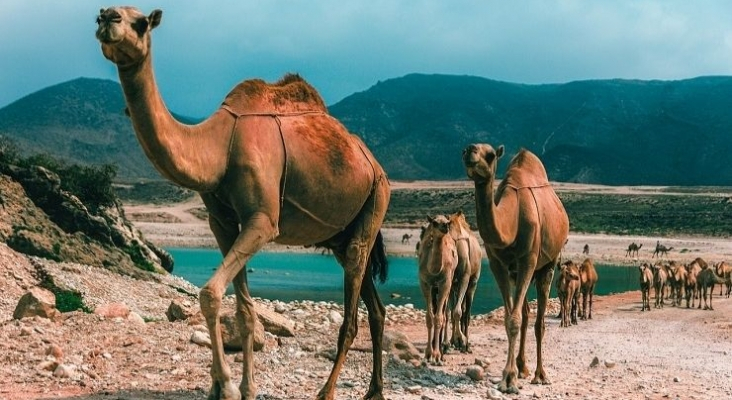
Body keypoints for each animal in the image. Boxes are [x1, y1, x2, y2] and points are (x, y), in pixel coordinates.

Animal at [98, 7, 394, 400]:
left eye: (141, 22)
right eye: (102, 16)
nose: (107, 17)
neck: (220, 146)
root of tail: (374, 164)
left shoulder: (263, 221)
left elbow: (210, 293)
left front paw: (225, 386)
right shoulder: (221, 222)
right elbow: (244, 310)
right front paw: (240, 387)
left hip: (376, 200)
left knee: (352, 316)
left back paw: (326, 392)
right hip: (342, 236)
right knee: (376, 309)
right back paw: (374, 390)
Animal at [418, 216, 458, 366]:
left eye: (447, 222)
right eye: (434, 223)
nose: (445, 227)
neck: (434, 270)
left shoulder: (445, 283)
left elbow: (439, 318)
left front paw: (435, 356)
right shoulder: (425, 283)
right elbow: (429, 317)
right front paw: (427, 355)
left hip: (448, 283)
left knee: (444, 314)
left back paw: (442, 352)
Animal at [444, 211, 484, 352]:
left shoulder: (465, 280)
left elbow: (458, 312)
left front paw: (461, 341)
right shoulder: (456, 283)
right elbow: (452, 312)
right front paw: (452, 342)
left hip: (468, 282)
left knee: (464, 312)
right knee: (462, 310)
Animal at [460, 144, 568, 394]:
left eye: (490, 155)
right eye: (464, 151)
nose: (470, 151)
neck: (511, 220)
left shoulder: (527, 259)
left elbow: (516, 319)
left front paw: (509, 380)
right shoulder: (498, 264)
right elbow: (510, 317)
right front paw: (510, 375)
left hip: (548, 264)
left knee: (539, 321)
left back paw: (540, 374)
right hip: (517, 273)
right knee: (527, 314)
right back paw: (522, 367)